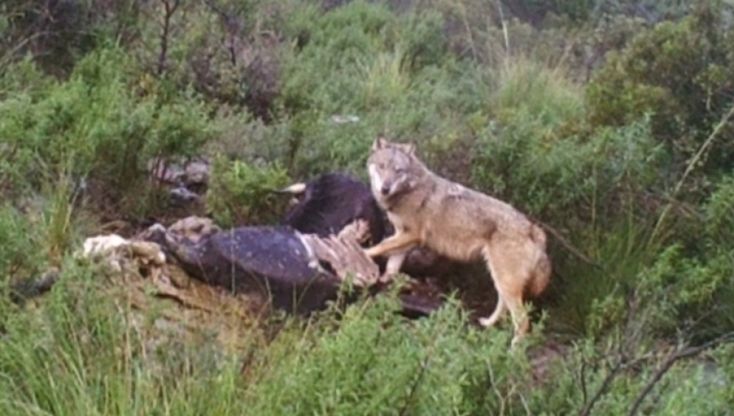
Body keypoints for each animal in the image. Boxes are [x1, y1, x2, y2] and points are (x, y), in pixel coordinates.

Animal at [365, 137, 551, 345]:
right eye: (382, 166)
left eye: (398, 170)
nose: (385, 188)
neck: (410, 190)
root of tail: (533, 229)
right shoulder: (404, 239)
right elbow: (392, 266)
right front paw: (384, 281)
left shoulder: (411, 236)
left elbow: (380, 246)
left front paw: (361, 252)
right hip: (500, 279)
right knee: (503, 306)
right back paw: (488, 323)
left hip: (506, 282)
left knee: (523, 321)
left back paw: (514, 349)